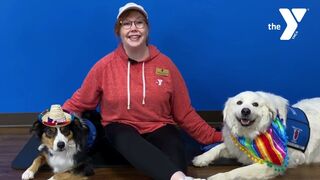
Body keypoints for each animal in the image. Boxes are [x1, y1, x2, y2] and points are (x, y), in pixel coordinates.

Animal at [192, 92, 320, 179]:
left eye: (255, 104)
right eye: (239, 102)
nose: (245, 111)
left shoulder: (271, 165)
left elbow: (239, 171)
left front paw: (220, 176)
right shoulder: (237, 149)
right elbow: (218, 147)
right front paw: (203, 158)